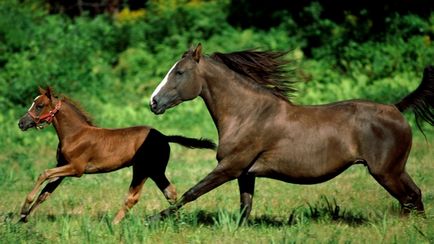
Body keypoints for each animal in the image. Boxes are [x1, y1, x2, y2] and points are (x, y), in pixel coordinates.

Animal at [17, 86, 216, 224]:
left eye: (39, 105)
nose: (21, 123)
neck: (75, 134)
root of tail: (164, 137)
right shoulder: (63, 167)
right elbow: (45, 193)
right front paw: (22, 219)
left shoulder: (76, 169)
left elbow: (44, 173)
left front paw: (24, 208)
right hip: (156, 170)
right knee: (171, 192)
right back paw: (177, 220)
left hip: (142, 169)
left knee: (133, 197)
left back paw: (113, 223)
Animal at [148, 43, 430, 223]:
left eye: (179, 72)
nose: (153, 102)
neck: (247, 114)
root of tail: (396, 108)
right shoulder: (245, 173)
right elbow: (245, 208)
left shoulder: (230, 167)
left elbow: (191, 193)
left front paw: (152, 218)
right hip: (395, 170)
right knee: (414, 196)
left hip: (386, 171)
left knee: (410, 197)